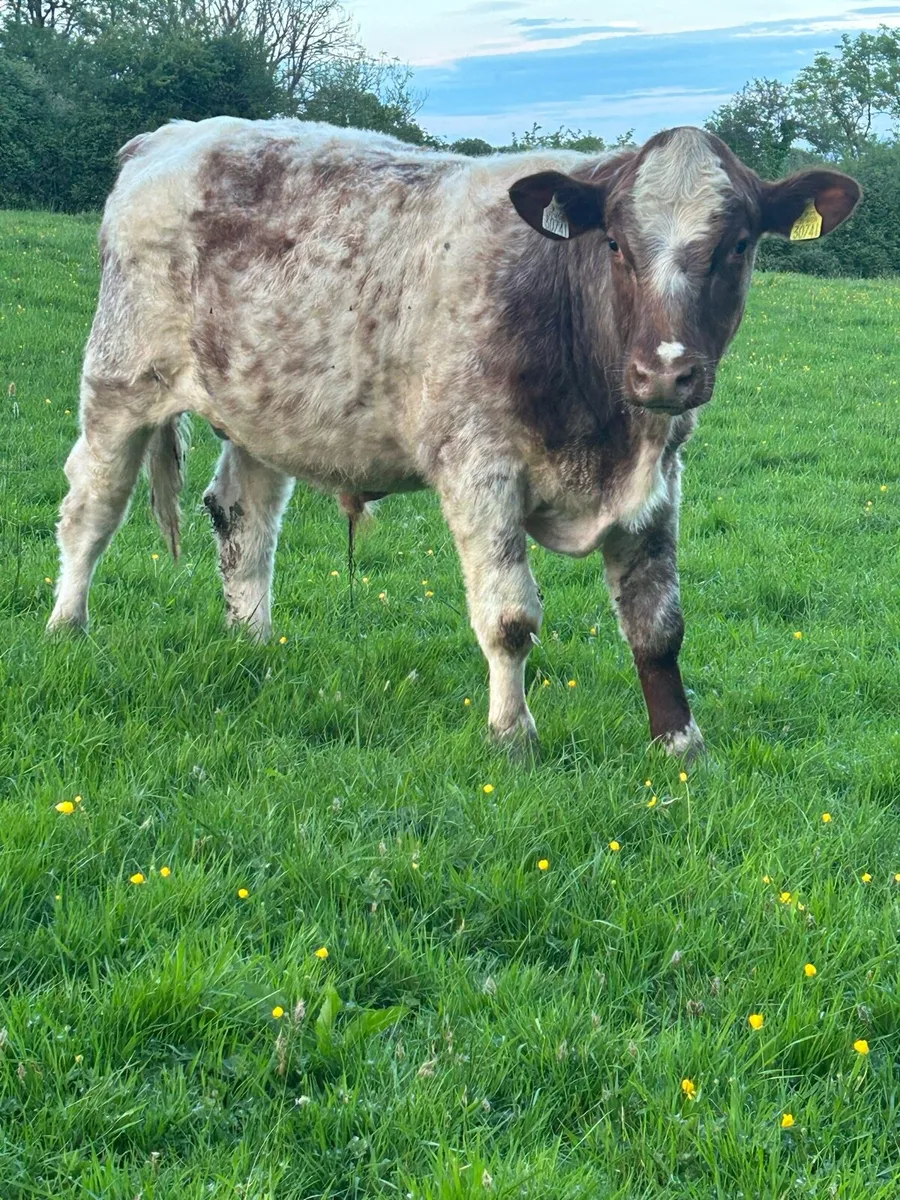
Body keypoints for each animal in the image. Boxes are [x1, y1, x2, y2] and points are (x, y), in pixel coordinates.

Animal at [47, 117, 860, 756]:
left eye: (739, 245)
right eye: (615, 245)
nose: (665, 372)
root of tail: (171, 135)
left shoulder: (660, 477)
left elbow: (657, 623)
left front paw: (681, 746)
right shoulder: (479, 467)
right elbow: (510, 617)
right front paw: (512, 738)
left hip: (260, 406)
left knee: (242, 518)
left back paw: (253, 644)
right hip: (119, 381)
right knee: (91, 511)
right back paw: (67, 628)